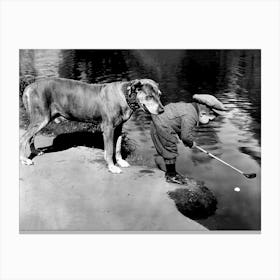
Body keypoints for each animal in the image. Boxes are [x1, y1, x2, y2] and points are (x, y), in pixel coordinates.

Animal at [19, 76, 164, 173]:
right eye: (149, 96)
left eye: (159, 95)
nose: (162, 110)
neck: (125, 95)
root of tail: (30, 86)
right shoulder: (108, 128)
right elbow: (109, 150)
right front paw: (112, 167)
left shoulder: (118, 128)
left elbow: (117, 147)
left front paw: (121, 162)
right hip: (41, 119)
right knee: (23, 138)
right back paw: (24, 159)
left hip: (41, 119)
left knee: (30, 137)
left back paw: (35, 151)